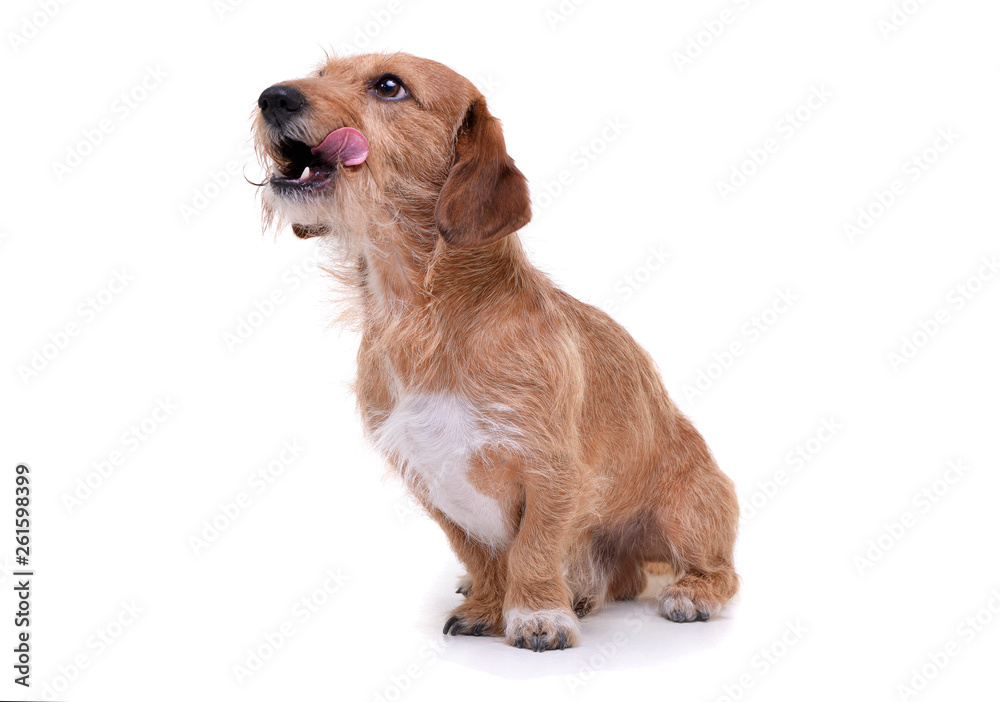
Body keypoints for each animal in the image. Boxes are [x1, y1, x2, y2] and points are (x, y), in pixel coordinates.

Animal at [254, 52, 740, 652]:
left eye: (389, 86)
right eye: (321, 73)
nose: (272, 97)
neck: (422, 314)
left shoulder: (553, 467)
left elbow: (534, 546)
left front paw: (537, 614)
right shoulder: (429, 478)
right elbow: (479, 552)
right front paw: (489, 603)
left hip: (688, 511)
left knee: (717, 570)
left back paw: (686, 592)